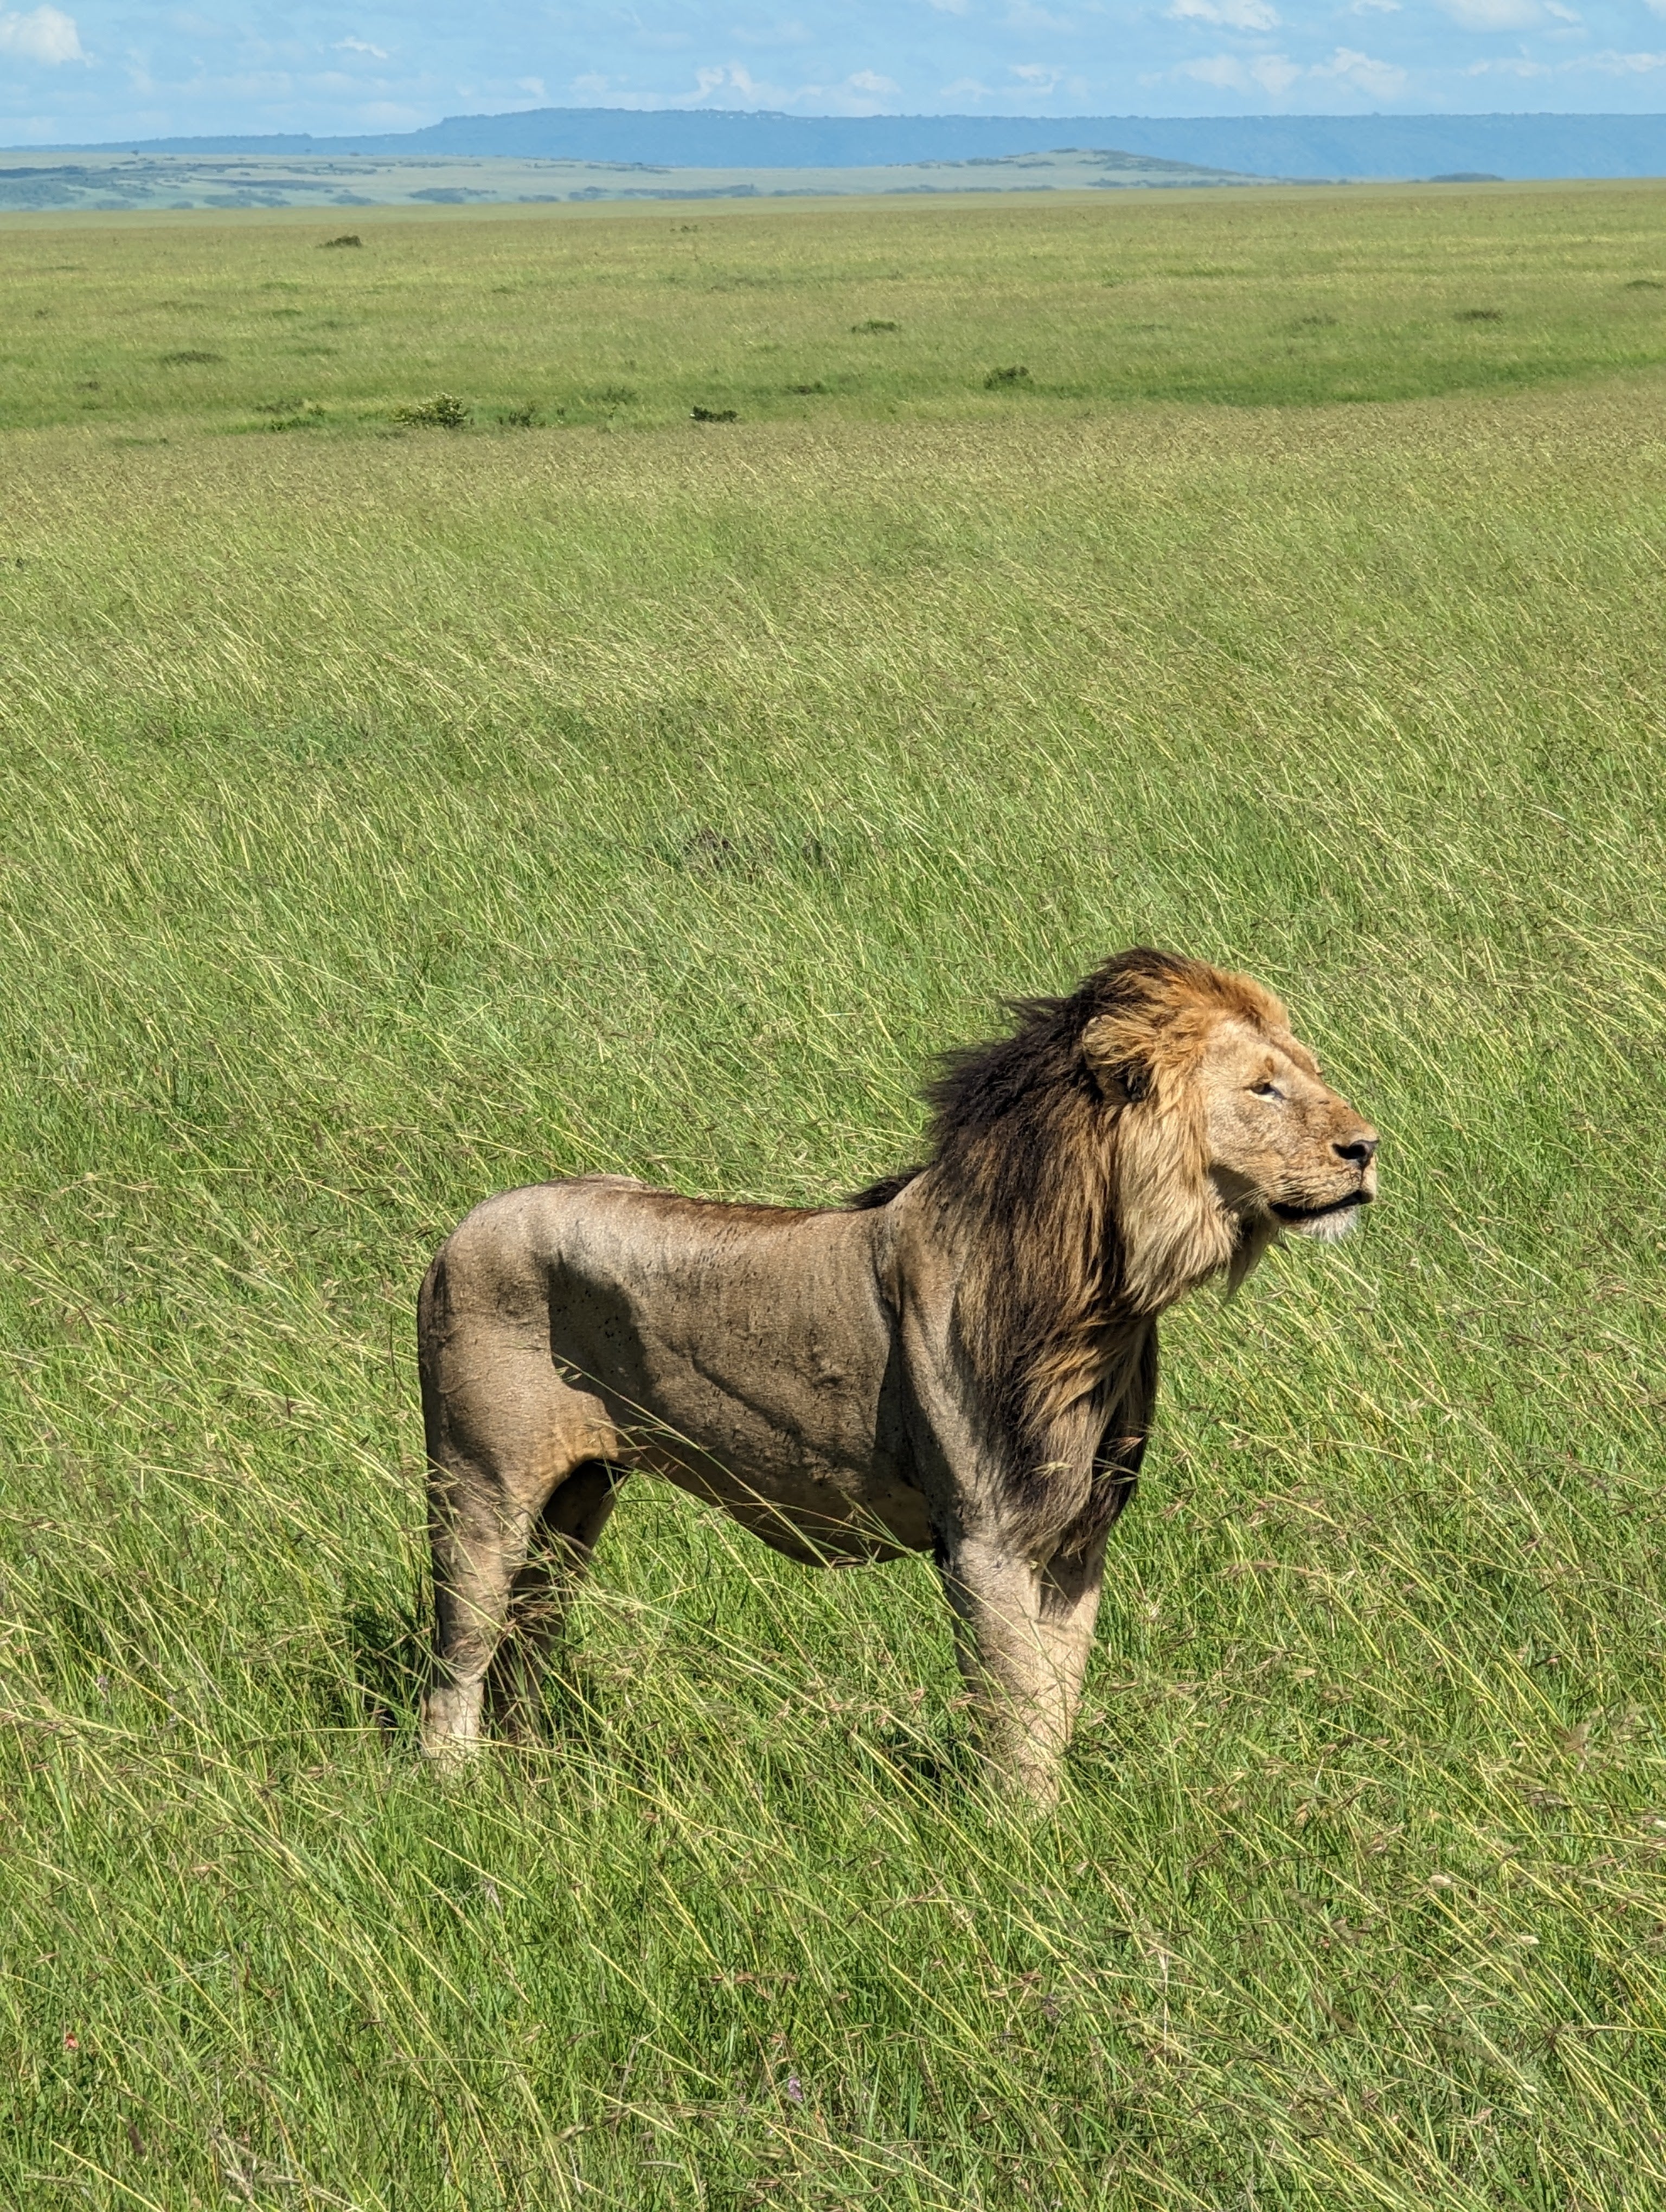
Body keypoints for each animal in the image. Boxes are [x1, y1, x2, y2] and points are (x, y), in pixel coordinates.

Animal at [418, 947, 1380, 1796]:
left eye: (1307, 1073)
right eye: (1263, 1087)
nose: (1369, 1147)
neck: (1099, 1301)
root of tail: (459, 1231)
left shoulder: (1077, 1540)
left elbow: (1055, 1705)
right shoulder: (985, 1540)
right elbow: (1015, 1716)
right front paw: (1022, 1843)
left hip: (579, 1501)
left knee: (525, 1641)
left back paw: (535, 1773)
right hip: (480, 1489)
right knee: (457, 1662)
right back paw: (457, 1790)